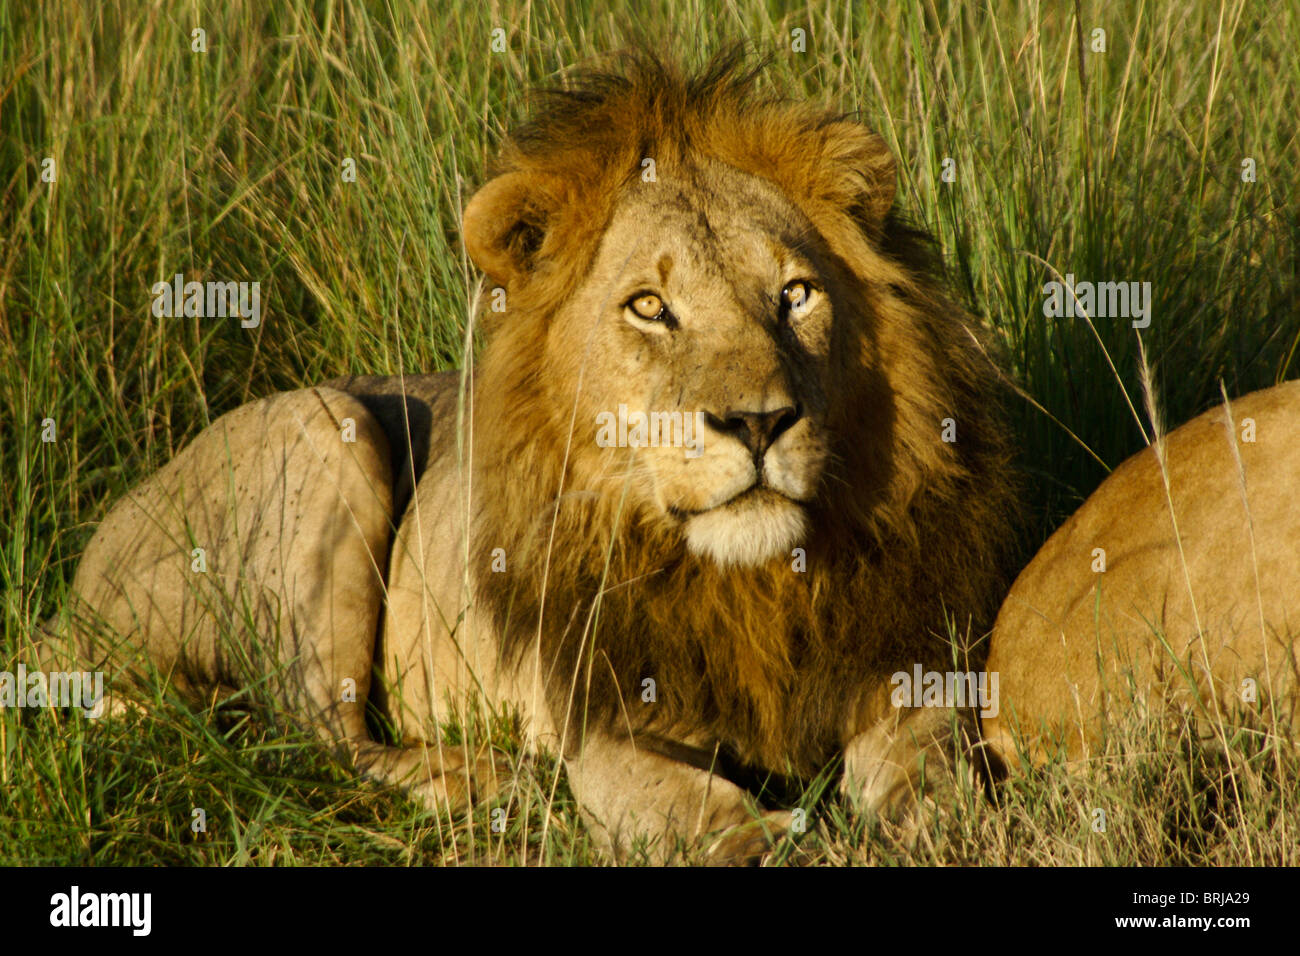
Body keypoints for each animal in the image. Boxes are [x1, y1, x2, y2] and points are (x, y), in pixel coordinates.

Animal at [40, 52, 1017, 862]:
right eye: (651, 307)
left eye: (797, 294)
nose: (759, 422)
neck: (749, 586)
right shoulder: (602, 718)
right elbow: (684, 803)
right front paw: (770, 841)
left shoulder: (903, 661)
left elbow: (930, 763)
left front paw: (938, 821)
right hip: (325, 428)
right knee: (321, 740)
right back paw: (488, 781)